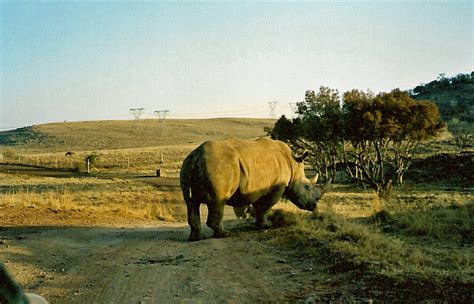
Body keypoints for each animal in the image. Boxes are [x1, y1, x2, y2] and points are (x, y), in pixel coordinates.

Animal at [180, 138, 332, 242]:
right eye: (307, 187)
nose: (314, 206)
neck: (293, 164)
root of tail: (196, 155)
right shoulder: (277, 187)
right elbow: (265, 206)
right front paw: (266, 225)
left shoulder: (258, 188)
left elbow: (259, 206)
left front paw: (260, 224)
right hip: (218, 167)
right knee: (217, 202)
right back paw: (225, 235)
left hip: (187, 165)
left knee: (191, 203)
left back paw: (196, 238)